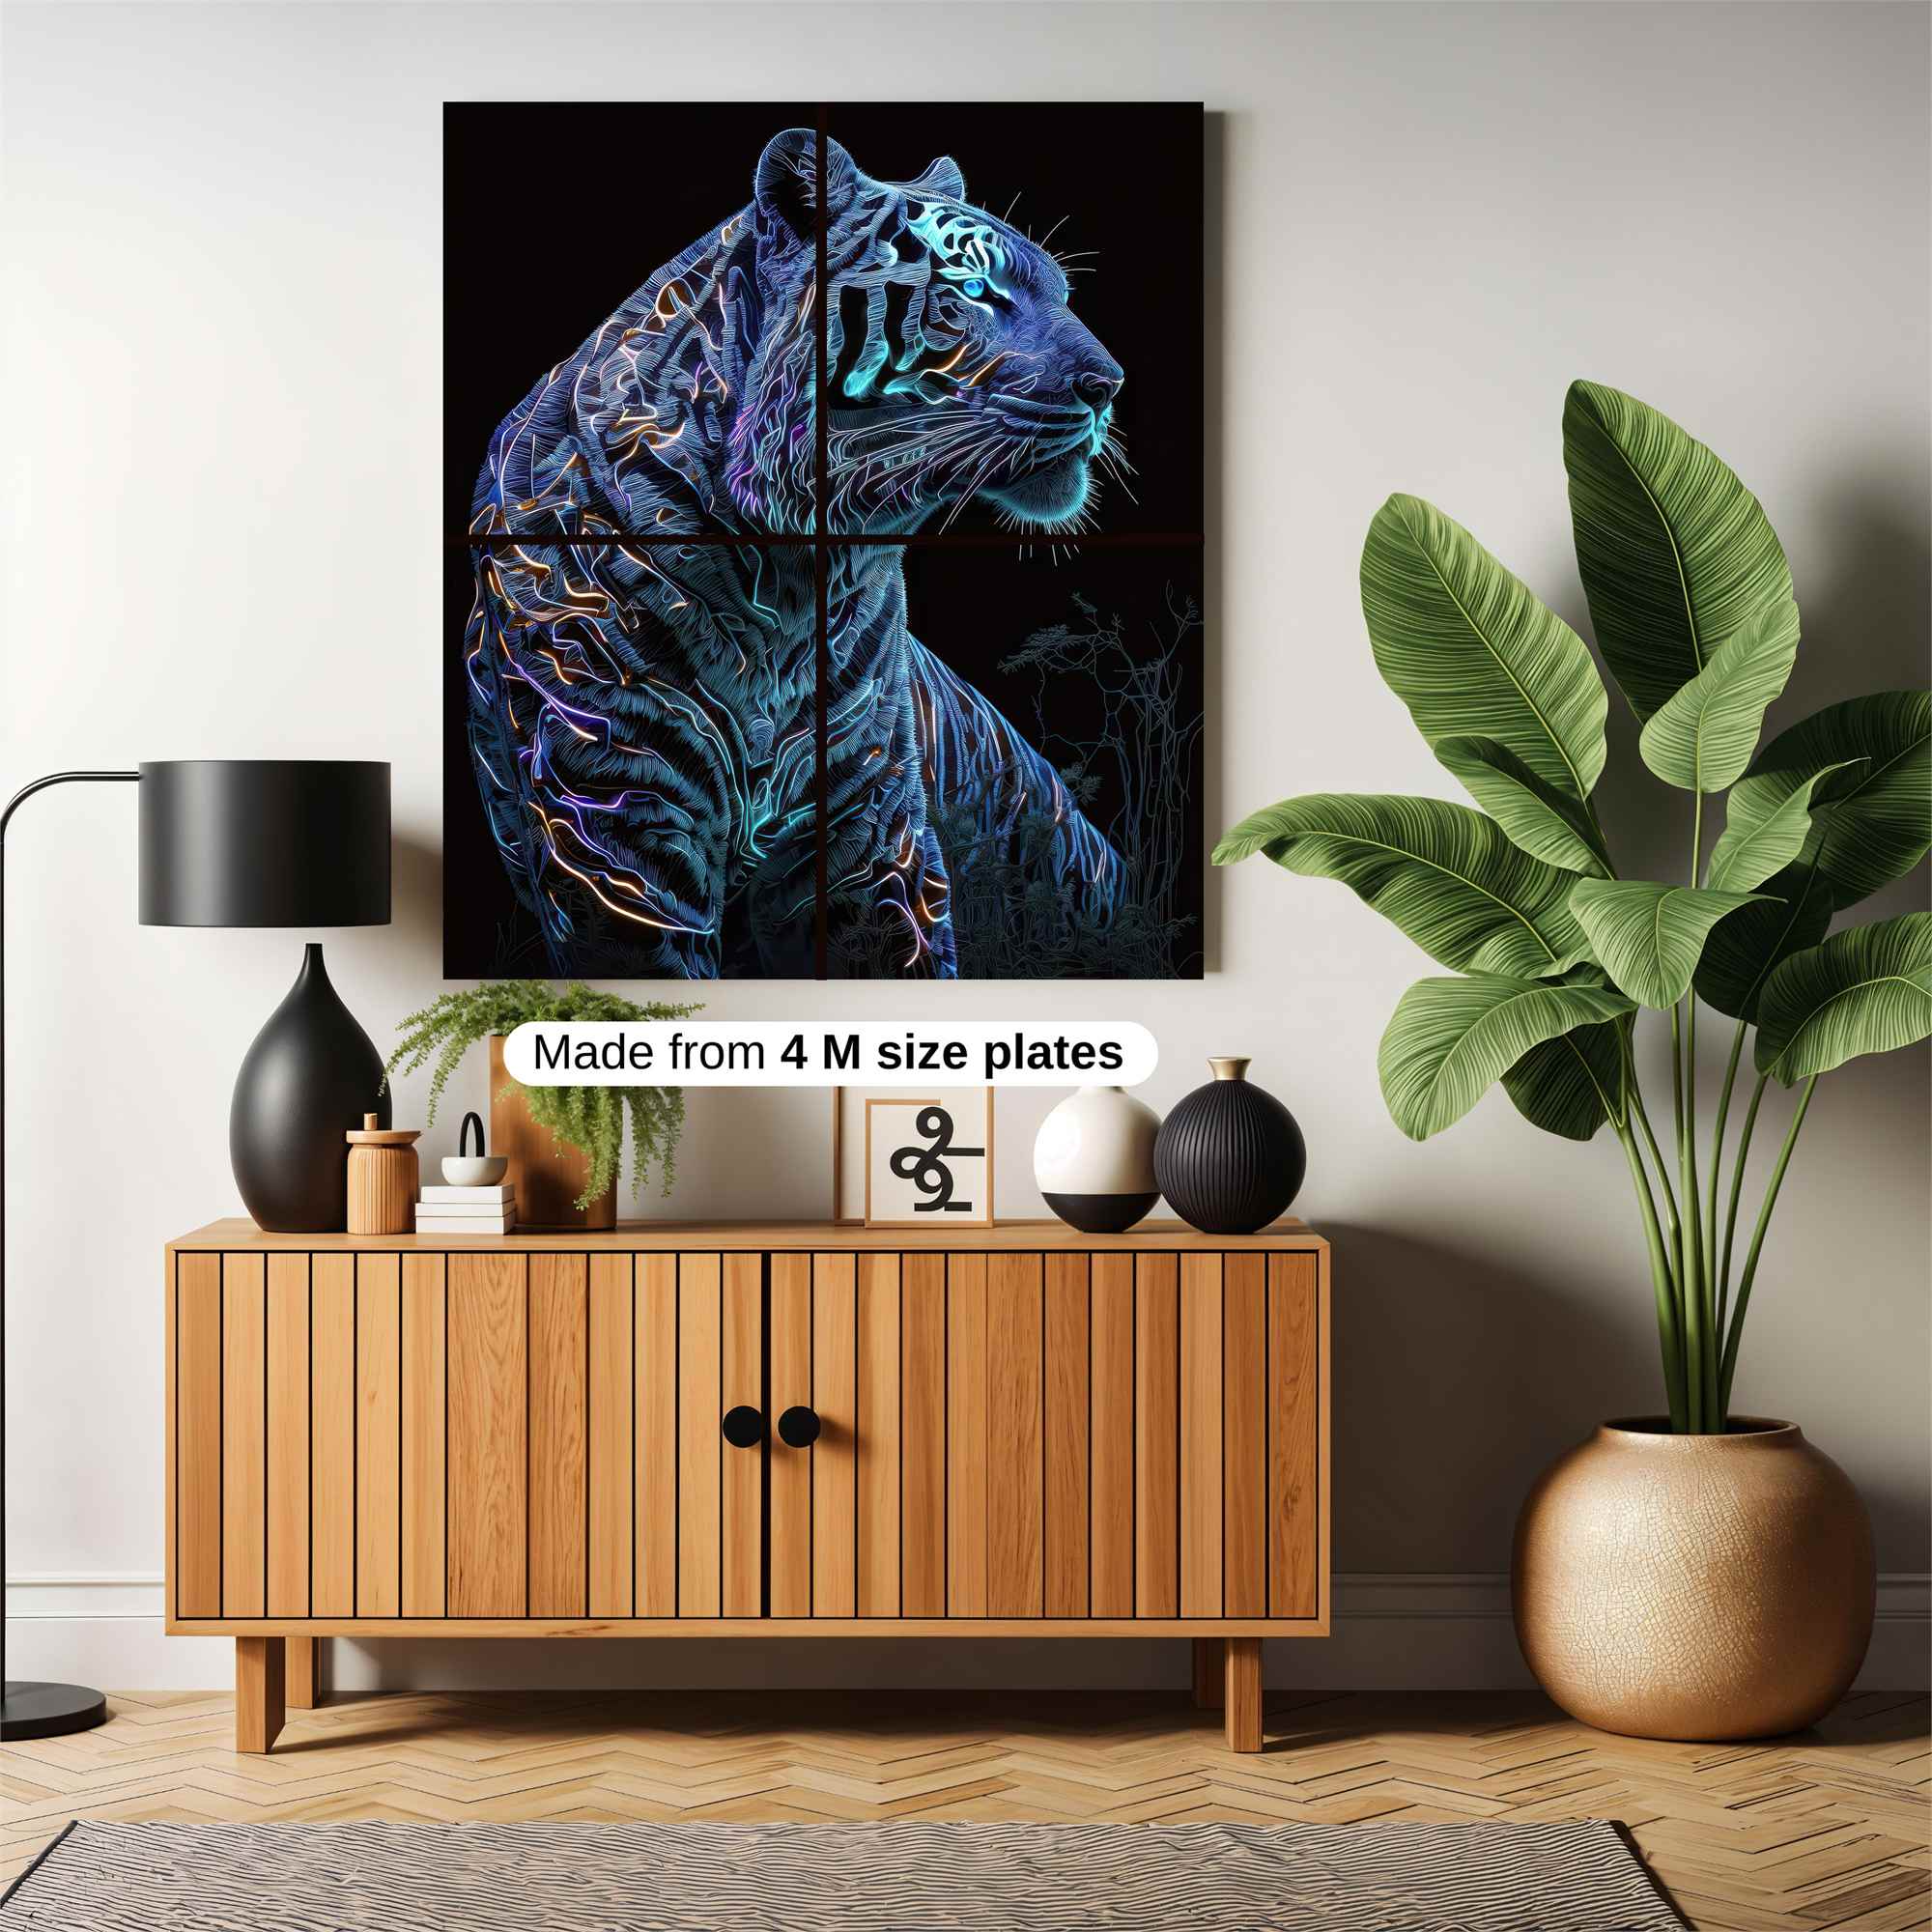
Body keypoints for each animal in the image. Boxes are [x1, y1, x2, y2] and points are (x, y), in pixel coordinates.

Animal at [464, 127, 1128, 977]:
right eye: (976, 291)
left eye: (1063, 293)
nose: (1109, 385)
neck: (782, 578)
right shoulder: (615, 834)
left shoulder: (870, 834)